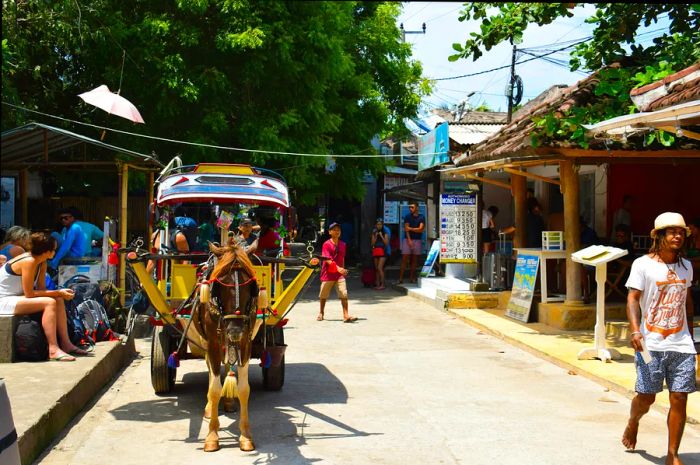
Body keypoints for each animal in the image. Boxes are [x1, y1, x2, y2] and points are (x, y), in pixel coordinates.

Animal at [190, 241, 258, 452]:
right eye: (219, 284)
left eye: (251, 285)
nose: (234, 329)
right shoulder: (212, 342)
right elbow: (214, 388)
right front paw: (212, 436)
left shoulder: (246, 341)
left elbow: (244, 389)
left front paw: (245, 436)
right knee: (212, 369)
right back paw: (209, 407)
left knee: (227, 365)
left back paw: (228, 401)